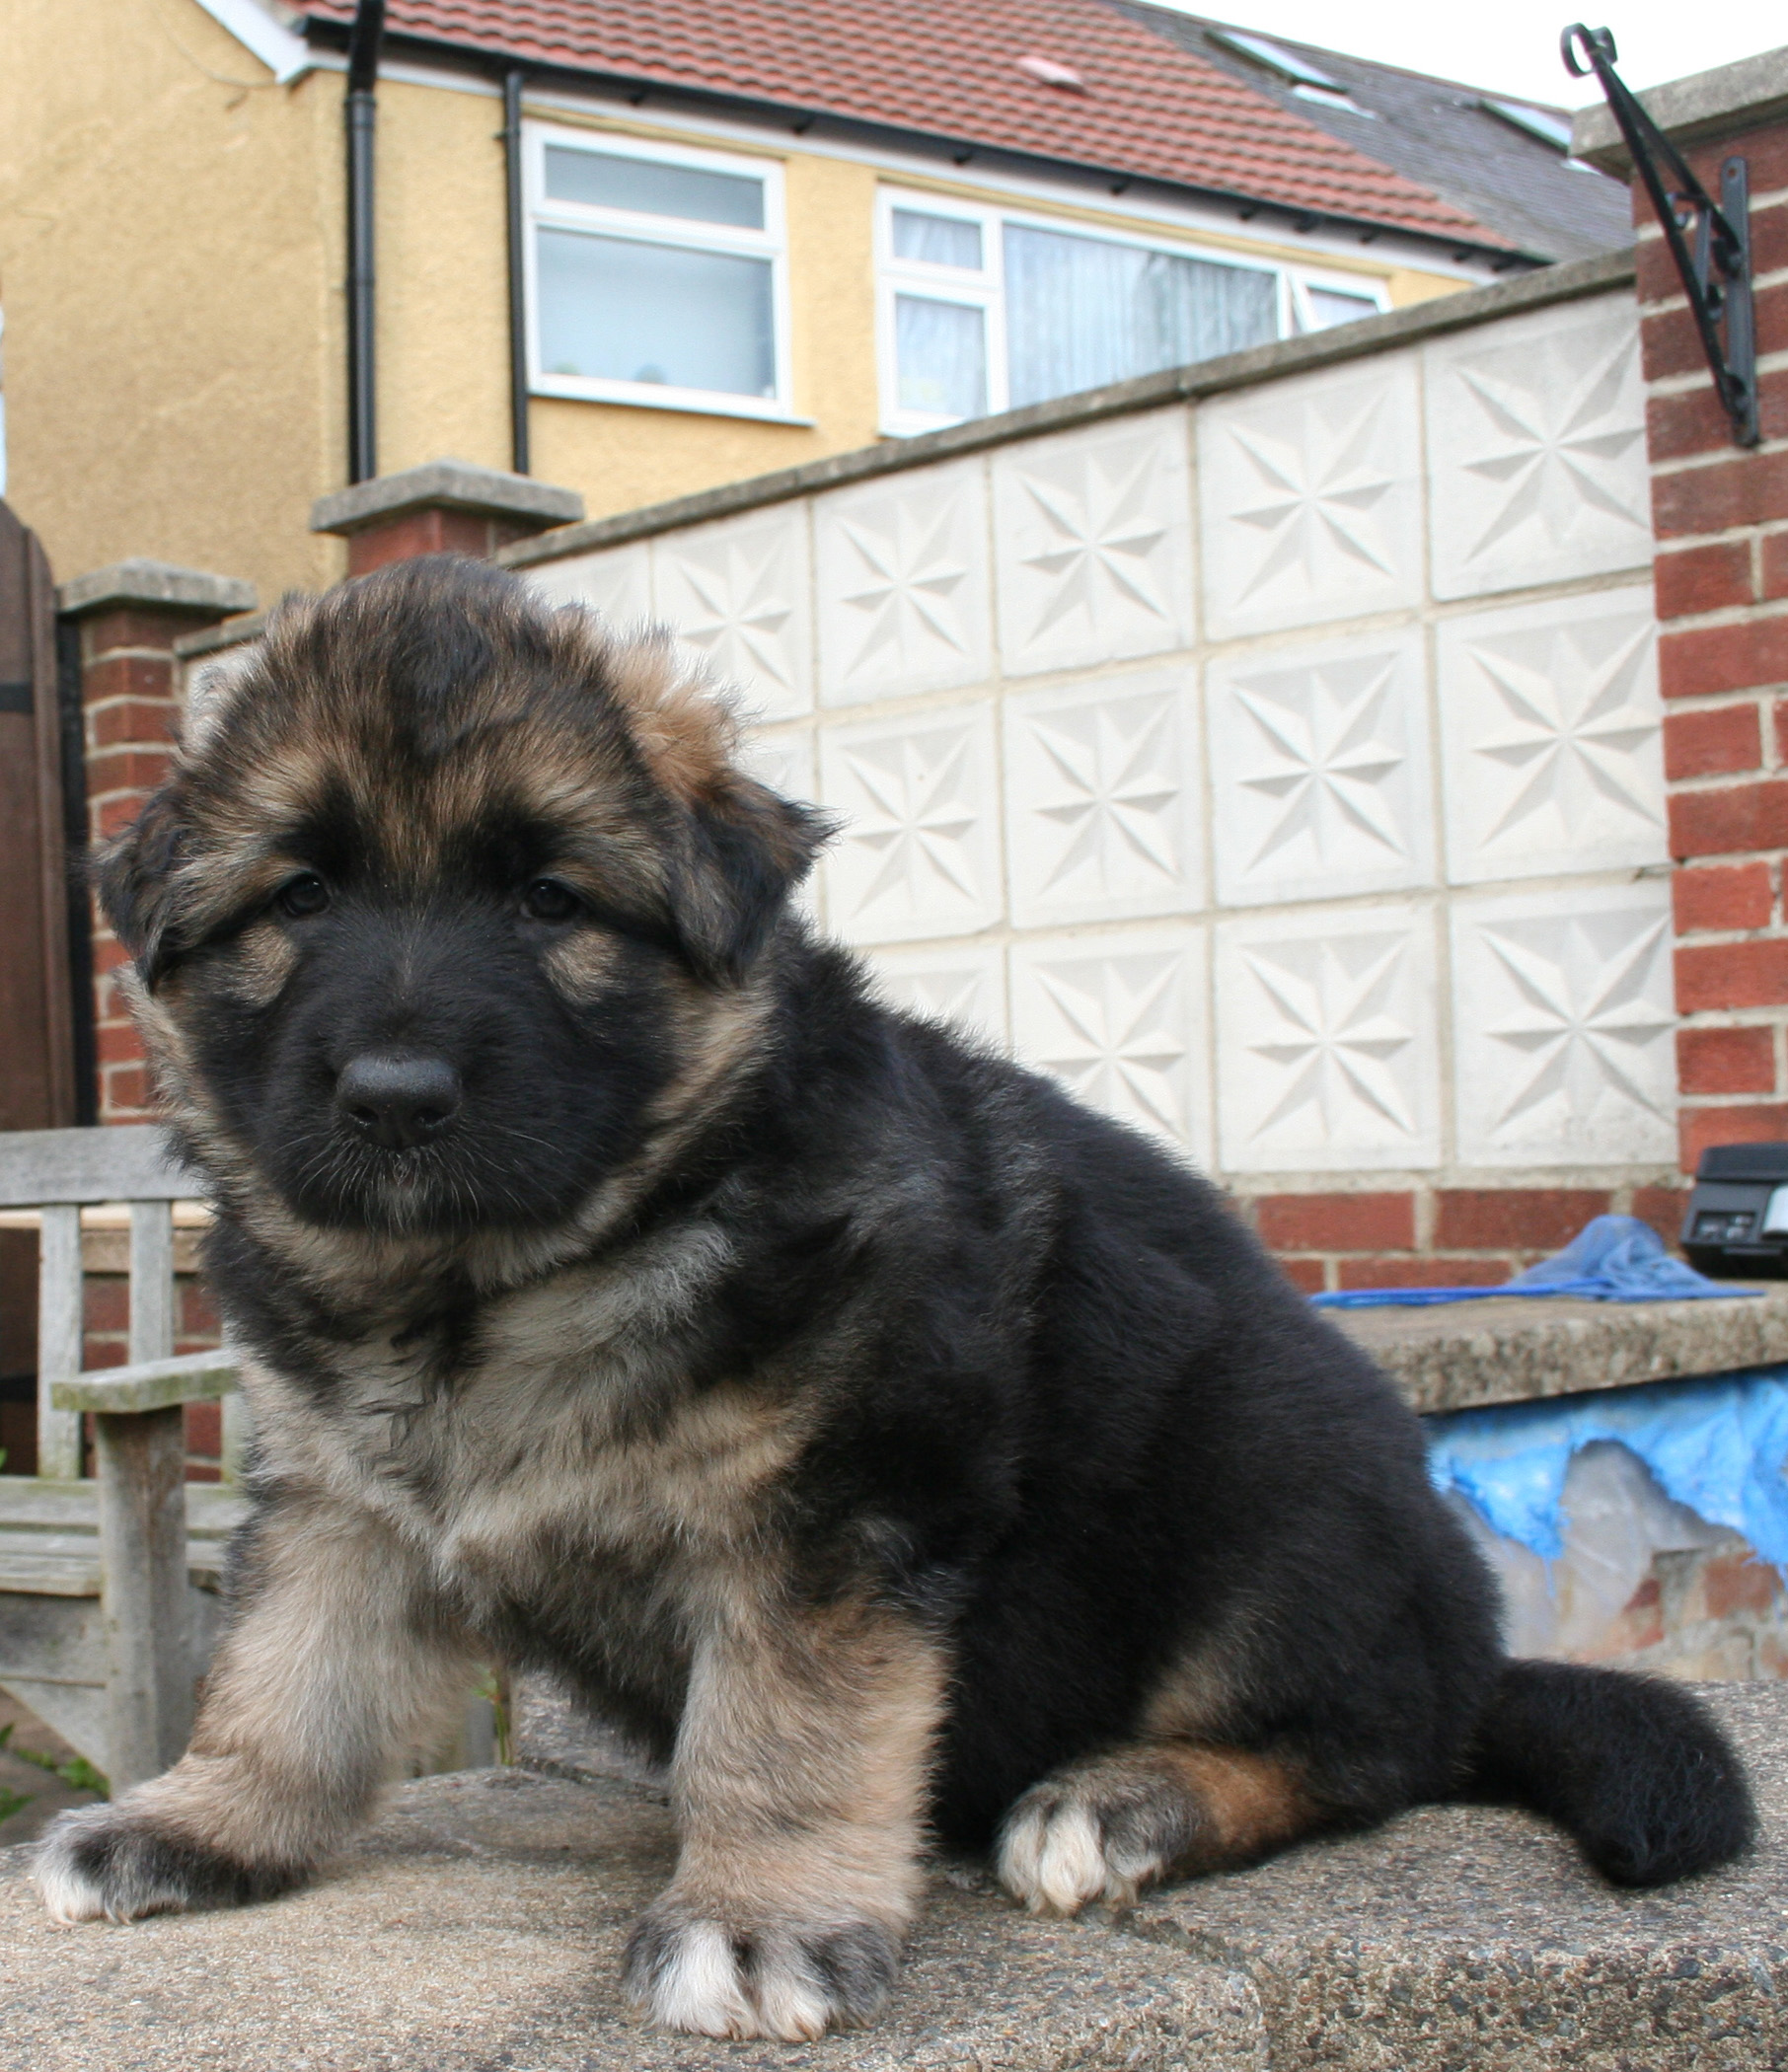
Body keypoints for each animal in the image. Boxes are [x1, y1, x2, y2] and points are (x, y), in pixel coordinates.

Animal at [35, 555, 1756, 2038]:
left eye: (549, 902)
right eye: (300, 900)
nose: (394, 1097)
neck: (507, 1279)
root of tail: (1470, 1647)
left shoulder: (842, 1506)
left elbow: (781, 1733)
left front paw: (756, 1916)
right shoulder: (340, 1496)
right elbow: (284, 1679)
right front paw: (197, 1822)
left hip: (1271, 1486)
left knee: (1366, 1745)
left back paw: (1120, 1800)